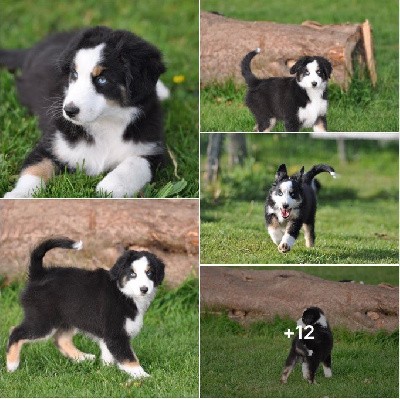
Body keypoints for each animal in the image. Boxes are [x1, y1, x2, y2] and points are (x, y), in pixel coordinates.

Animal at [0, 25, 169, 198]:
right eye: (74, 75)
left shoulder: (152, 149)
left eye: (102, 79)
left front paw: (110, 186)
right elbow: (35, 168)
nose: (69, 111)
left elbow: (136, 163)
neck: (106, 122)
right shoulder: (53, 144)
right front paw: (18, 196)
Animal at [5, 239, 164, 380]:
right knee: (15, 331)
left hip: (67, 319)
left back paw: (83, 358)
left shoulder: (109, 335)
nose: (144, 289)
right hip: (43, 321)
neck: (123, 293)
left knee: (61, 340)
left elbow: (110, 355)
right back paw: (12, 365)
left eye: (149, 273)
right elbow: (129, 358)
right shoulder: (115, 334)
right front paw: (143, 376)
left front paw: (106, 371)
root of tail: (40, 274)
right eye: (132, 274)